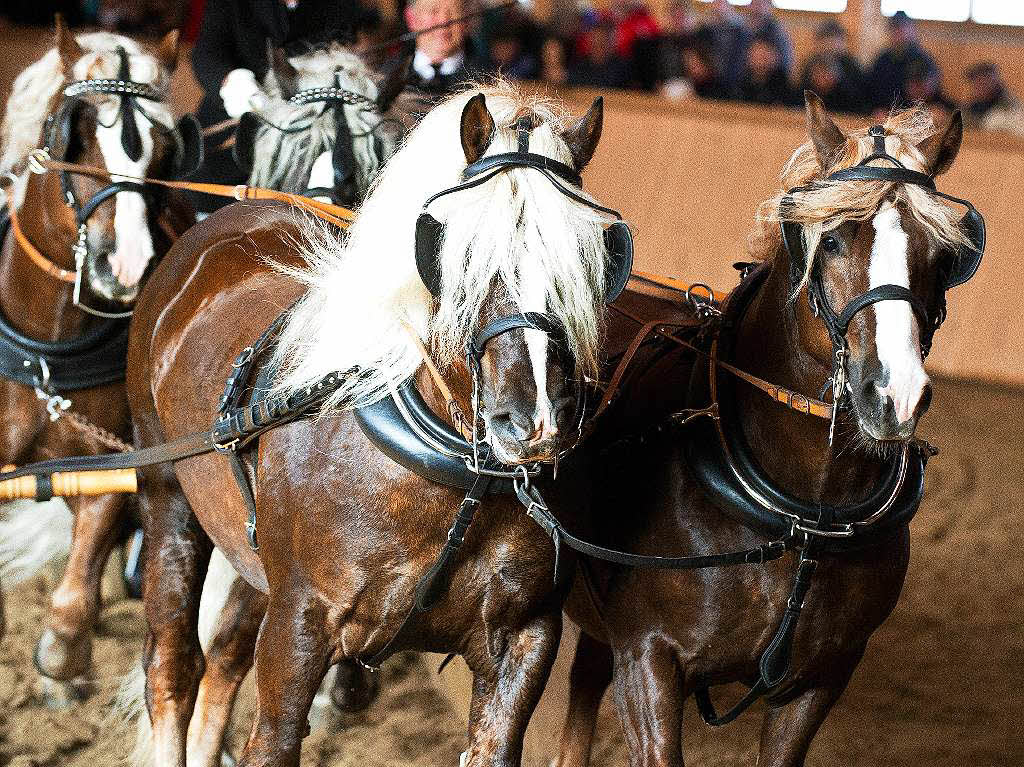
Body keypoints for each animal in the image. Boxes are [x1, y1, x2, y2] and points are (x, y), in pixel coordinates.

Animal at [0, 17, 196, 700]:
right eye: (75, 131)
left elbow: (74, 594)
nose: (130, 263)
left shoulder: (116, 465)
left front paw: (62, 660)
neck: (48, 359)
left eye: (164, 150)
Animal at [124, 80, 626, 761]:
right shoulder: (298, 628)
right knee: (174, 666)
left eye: (594, 253)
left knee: (224, 658)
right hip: (167, 496)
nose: (534, 418)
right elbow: (273, 737)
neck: (451, 482)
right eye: (454, 249)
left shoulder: (525, 637)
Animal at [561, 95, 983, 765]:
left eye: (945, 256)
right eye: (832, 239)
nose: (895, 394)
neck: (803, 518)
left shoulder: (821, 679)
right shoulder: (647, 661)